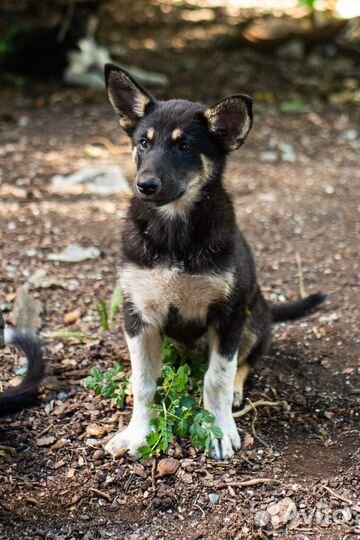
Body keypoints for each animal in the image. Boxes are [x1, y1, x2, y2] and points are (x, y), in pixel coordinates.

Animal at [102, 63, 324, 460]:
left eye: (185, 146)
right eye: (144, 142)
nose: (145, 185)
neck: (174, 229)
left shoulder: (228, 314)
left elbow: (217, 377)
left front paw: (218, 431)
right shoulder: (137, 315)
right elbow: (143, 382)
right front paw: (137, 433)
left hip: (254, 319)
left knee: (244, 362)